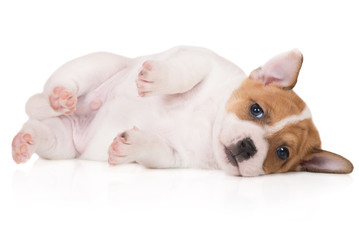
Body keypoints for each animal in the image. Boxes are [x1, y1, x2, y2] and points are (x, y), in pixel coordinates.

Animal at [11, 46, 354, 176]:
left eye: (282, 153)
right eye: (256, 110)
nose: (247, 146)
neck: (209, 123)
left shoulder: (174, 156)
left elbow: (154, 149)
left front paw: (130, 147)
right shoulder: (201, 60)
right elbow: (182, 74)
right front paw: (156, 79)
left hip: (63, 143)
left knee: (44, 134)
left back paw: (25, 141)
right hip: (95, 65)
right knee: (55, 88)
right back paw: (60, 97)